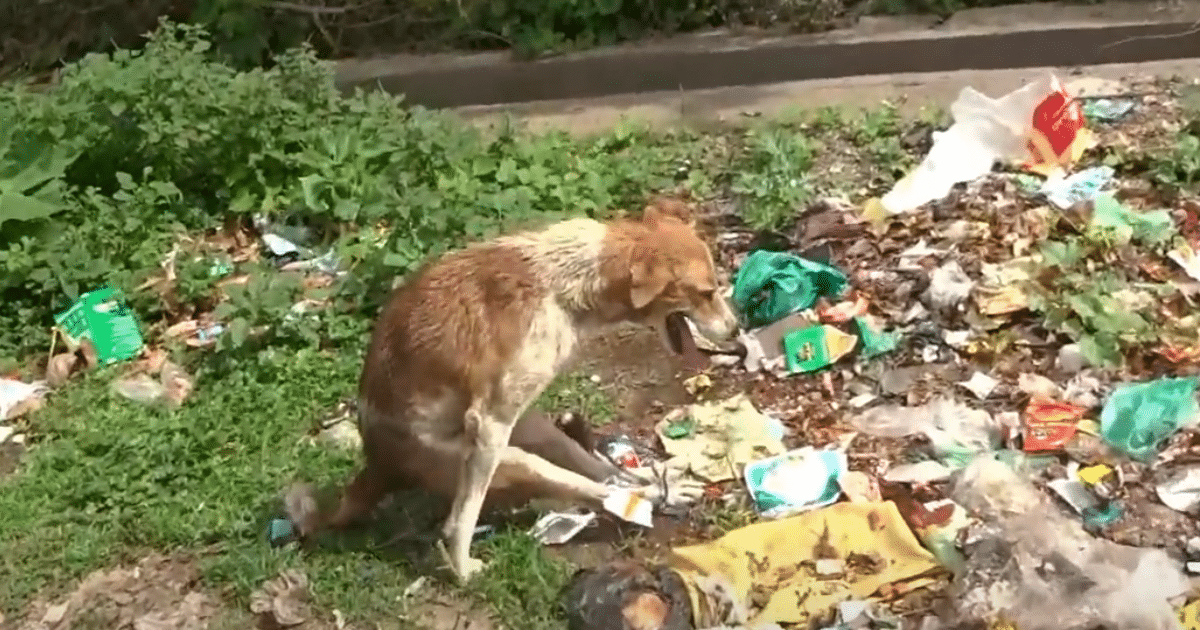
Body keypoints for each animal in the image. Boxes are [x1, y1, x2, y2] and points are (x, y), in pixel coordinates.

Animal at [290, 195, 739, 580]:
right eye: (706, 293)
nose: (737, 331)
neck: (566, 281)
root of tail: (377, 463)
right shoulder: (487, 424)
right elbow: (461, 521)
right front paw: (461, 570)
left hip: (531, 428)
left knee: (600, 472)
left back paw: (654, 487)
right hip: (509, 457)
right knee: (575, 488)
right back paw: (648, 498)